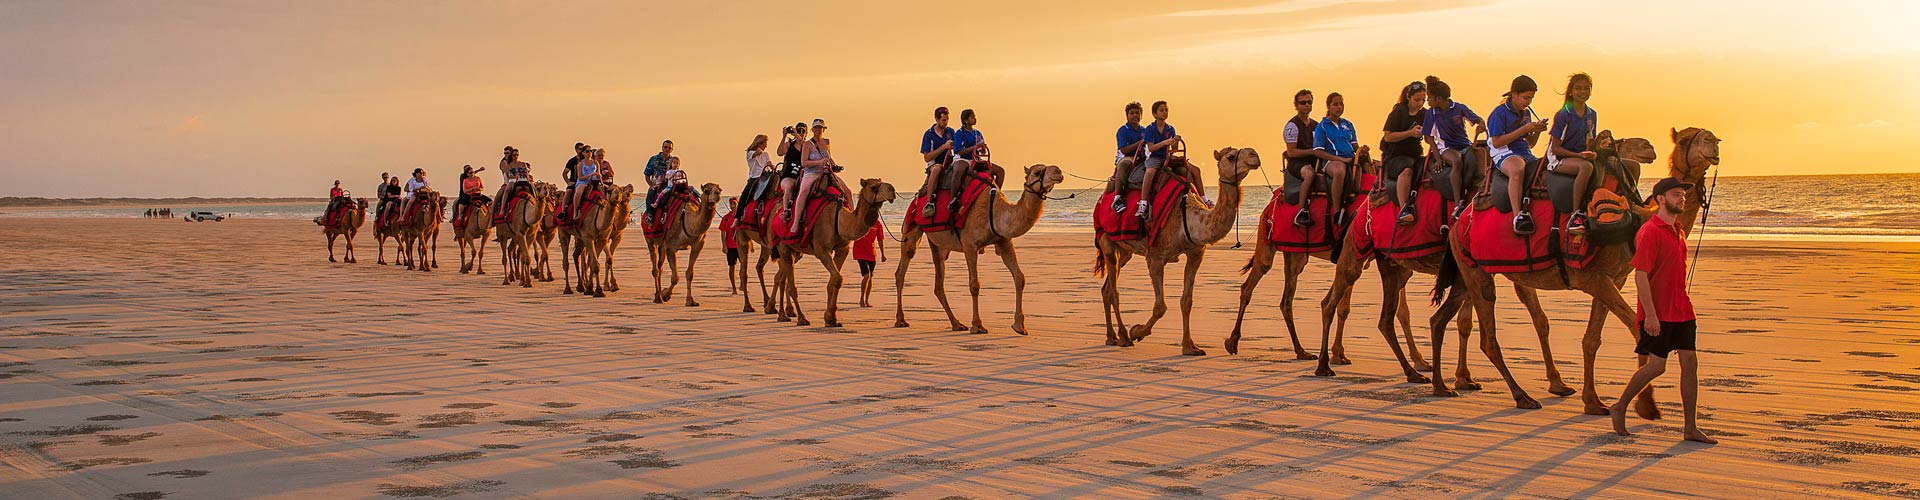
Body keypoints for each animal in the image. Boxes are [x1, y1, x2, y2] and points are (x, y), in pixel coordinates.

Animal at [773, 178, 897, 327]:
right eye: (873, 187)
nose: (892, 190)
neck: (839, 221)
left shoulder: (842, 250)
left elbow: (833, 281)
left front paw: (830, 318)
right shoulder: (822, 250)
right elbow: (837, 278)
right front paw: (831, 317)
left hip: (794, 251)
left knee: (783, 279)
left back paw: (783, 315)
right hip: (783, 246)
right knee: (790, 284)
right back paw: (800, 318)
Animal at [892, 164, 1064, 335]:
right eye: (1037, 172)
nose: (1058, 171)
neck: (994, 212)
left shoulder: (1004, 242)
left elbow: (1019, 278)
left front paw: (1019, 326)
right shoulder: (970, 245)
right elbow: (974, 285)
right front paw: (977, 325)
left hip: (938, 244)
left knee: (938, 283)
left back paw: (956, 324)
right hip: (911, 227)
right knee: (902, 269)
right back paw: (900, 320)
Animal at [1094, 147, 1260, 355]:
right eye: (1230, 157)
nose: (1254, 155)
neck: (1186, 217)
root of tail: (1101, 199)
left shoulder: (1195, 254)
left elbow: (1186, 301)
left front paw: (1190, 346)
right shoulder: (1155, 257)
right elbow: (1160, 306)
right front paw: (1137, 331)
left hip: (1125, 251)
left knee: (1107, 288)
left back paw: (1111, 337)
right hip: (1106, 240)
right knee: (1114, 291)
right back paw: (1124, 336)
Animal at [1428, 128, 1714, 411]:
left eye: (1705, 134)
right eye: (1688, 139)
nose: (1714, 142)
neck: (1636, 220)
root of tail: (1459, 220)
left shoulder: (1615, 278)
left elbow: (1592, 339)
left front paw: (1594, 401)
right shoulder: (1594, 279)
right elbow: (1636, 332)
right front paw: (1646, 404)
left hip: (1467, 272)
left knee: (1439, 319)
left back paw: (1441, 385)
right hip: (1476, 273)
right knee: (1487, 336)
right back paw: (1521, 396)